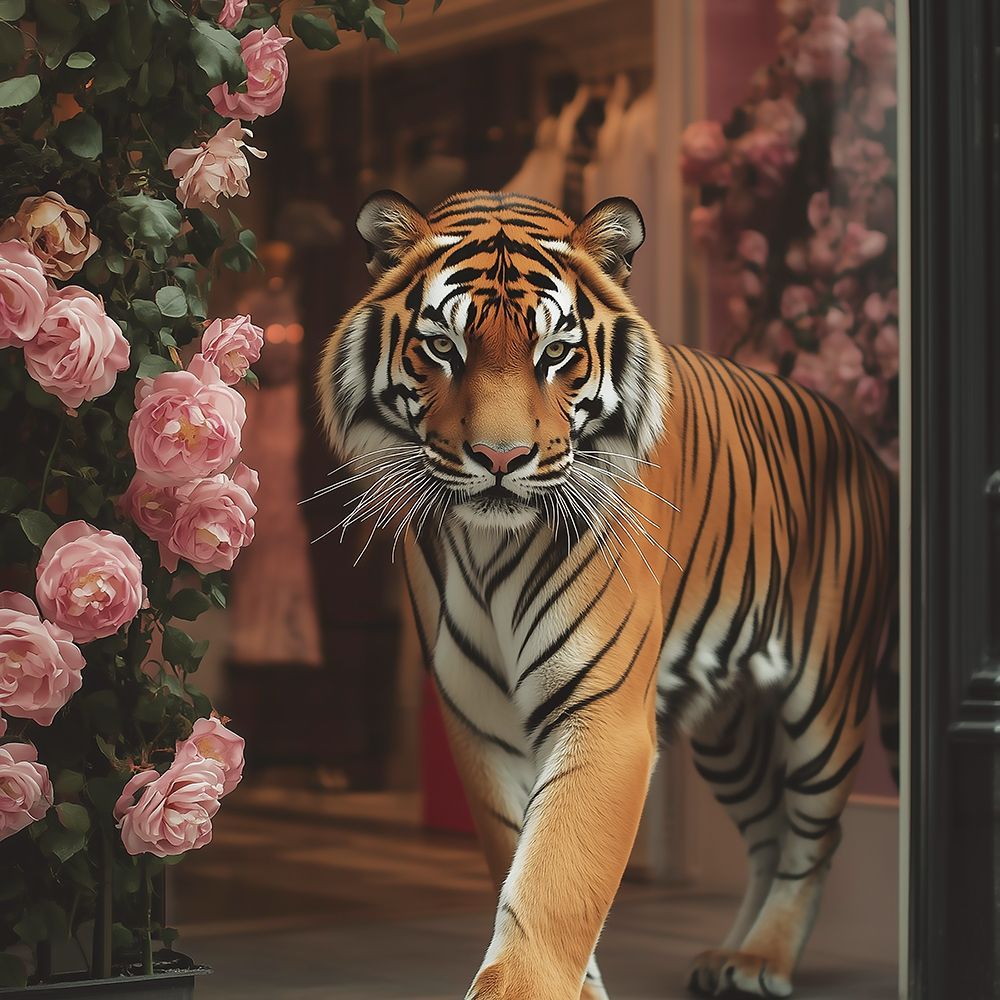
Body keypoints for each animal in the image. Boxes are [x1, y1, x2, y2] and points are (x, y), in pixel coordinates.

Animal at [316, 189, 897, 1000]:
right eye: (442, 347)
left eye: (556, 353)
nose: (499, 457)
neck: (491, 547)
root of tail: (861, 442)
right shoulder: (480, 722)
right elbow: (521, 862)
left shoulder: (605, 714)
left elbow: (556, 877)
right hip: (728, 730)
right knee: (768, 833)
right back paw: (731, 955)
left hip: (825, 703)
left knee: (813, 839)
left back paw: (764, 959)